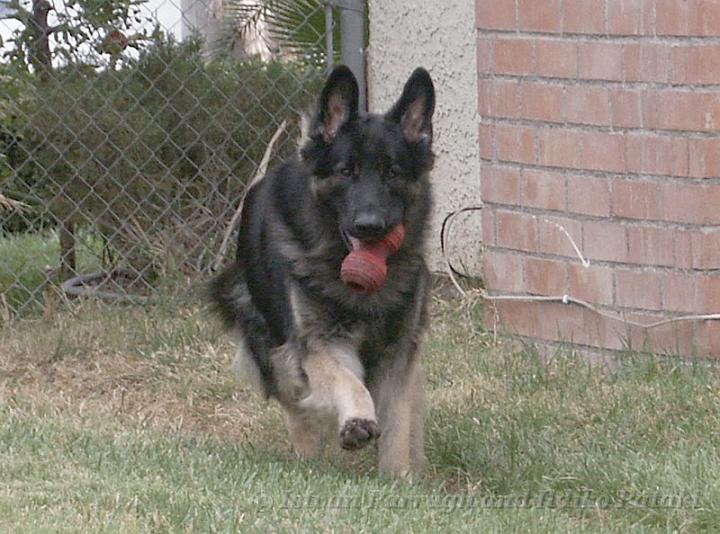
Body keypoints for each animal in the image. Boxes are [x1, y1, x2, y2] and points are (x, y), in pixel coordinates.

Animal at [208, 65, 434, 480]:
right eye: (346, 172)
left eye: (393, 173)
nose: (370, 226)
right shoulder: (317, 343)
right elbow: (347, 381)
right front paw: (356, 421)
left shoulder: (399, 353)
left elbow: (398, 420)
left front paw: (399, 477)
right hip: (271, 346)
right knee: (297, 407)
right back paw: (307, 457)